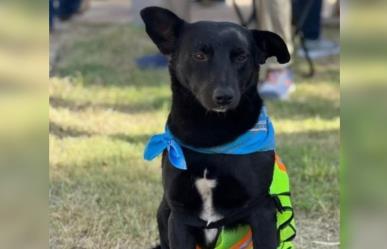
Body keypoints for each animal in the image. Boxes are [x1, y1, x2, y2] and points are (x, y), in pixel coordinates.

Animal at [141, 6, 290, 249]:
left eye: (241, 56)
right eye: (199, 55)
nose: (224, 97)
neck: (210, 135)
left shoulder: (262, 210)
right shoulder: (180, 216)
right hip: (162, 212)